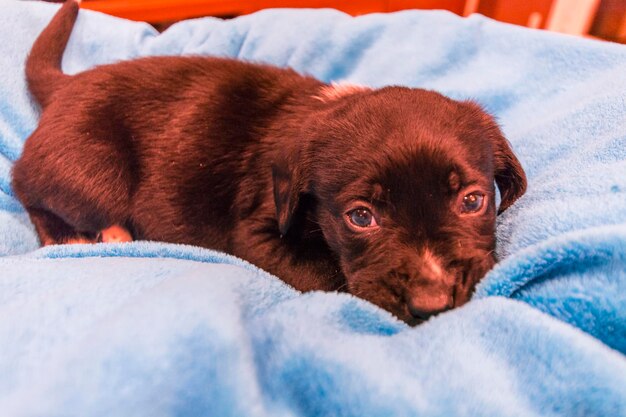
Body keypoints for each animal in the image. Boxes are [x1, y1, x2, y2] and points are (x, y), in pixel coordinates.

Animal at [12, 0, 524, 324]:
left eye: (473, 201)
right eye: (361, 217)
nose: (433, 301)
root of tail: (65, 87)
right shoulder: (256, 232)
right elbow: (327, 274)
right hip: (94, 173)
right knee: (29, 190)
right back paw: (84, 235)